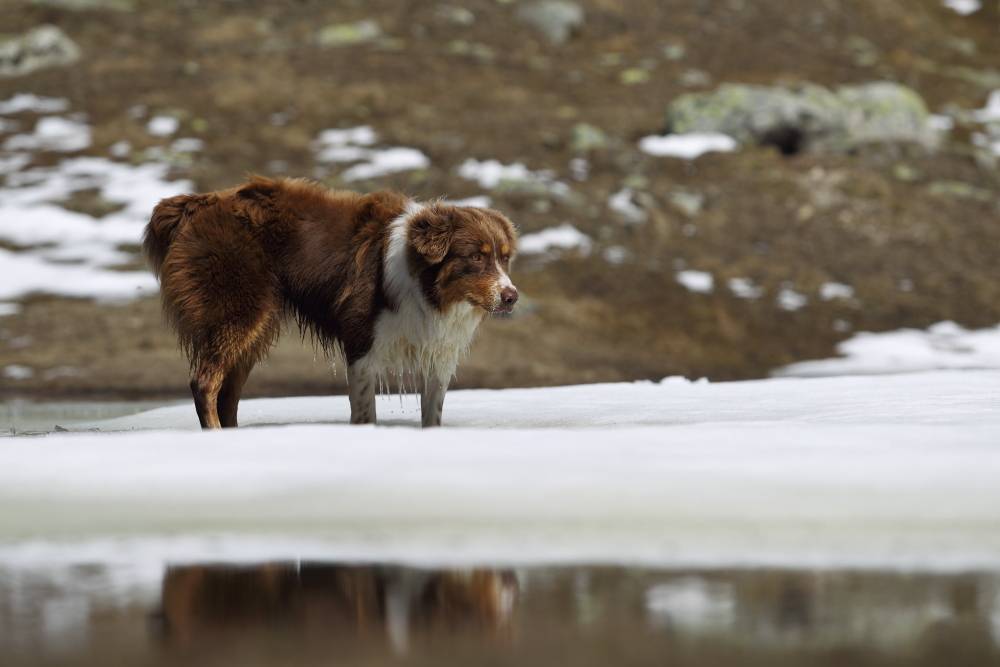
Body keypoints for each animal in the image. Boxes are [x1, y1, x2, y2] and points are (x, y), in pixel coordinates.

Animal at [145, 175, 520, 430]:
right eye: (475, 256)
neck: (426, 287)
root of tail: (196, 203)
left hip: (253, 329)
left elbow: (433, 413)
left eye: (505, 257)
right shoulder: (362, 342)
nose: (512, 297)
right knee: (205, 382)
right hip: (235, 312)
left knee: (228, 394)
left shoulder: (436, 350)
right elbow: (365, 412)